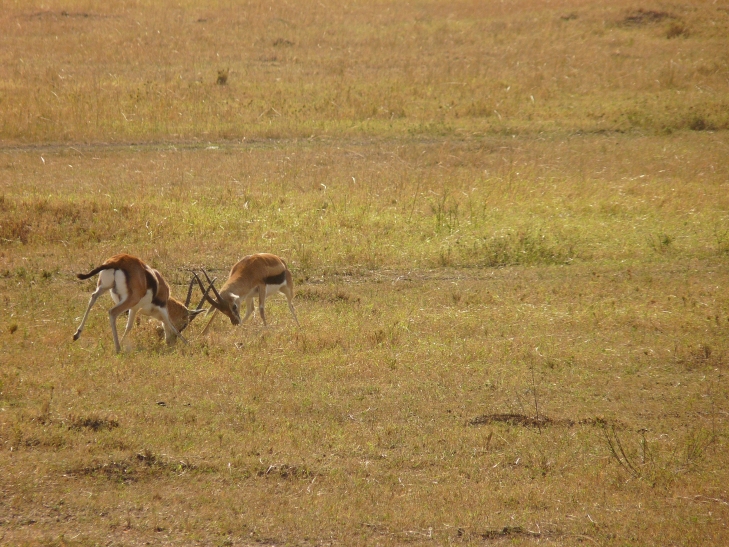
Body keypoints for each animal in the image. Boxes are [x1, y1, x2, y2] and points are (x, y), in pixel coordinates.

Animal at [73, 254, 213, 353]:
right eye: (184, 324)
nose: (171, 342)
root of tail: (117, 261)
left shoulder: (134, 309)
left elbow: (129, 326)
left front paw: (123, 342)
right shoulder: (162, 308)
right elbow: (170, 324)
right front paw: (188, 344)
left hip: (104, 287)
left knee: (93, 298)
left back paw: (77, 334)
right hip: (129, 299)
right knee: (112, 312)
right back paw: (117, 349)